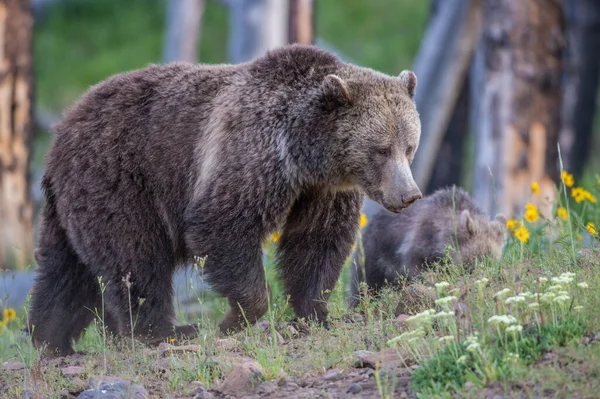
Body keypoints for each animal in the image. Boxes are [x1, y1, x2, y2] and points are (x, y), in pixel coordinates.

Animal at [27, 44, 422, 356]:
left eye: (409, 146)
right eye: (380, 149)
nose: (409, 195)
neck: (304, 155)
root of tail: (61, 129)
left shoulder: (321, 191)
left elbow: (316, 243)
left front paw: (315, 311)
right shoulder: (251, 153)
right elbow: (223, 224)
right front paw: (235, 318)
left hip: (69, 205)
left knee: (65, 272)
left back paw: (51, 339)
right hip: (119, 180)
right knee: (135, 257)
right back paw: (162, 331)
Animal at [346, 186, 506, 308]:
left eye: (493, 260)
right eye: (478, 259)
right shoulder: (418, 241)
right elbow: (414, 265)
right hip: (372, 254)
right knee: (364, 283)